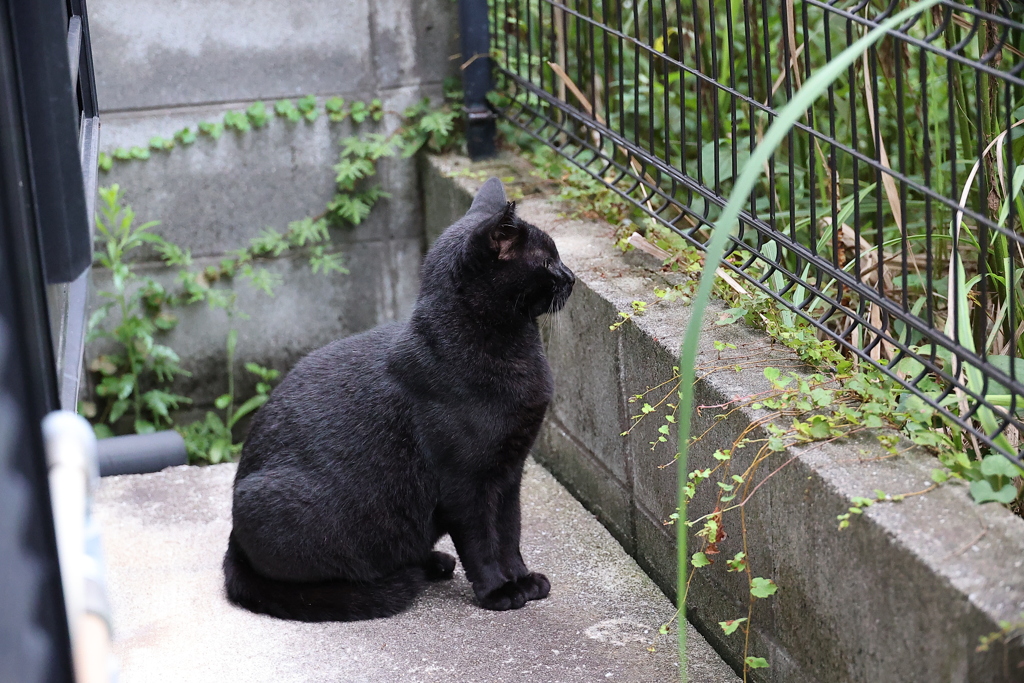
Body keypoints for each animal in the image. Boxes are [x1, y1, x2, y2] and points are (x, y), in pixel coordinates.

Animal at [224, 179, 577, 622]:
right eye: (547, 261)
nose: (572, 277)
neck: (511, 350)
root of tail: (233, 540)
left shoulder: (510, 471)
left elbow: (510, 532)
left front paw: (523, 579)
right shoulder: (463, 482)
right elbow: (481, 542)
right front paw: (499, 591)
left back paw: (433, 562)